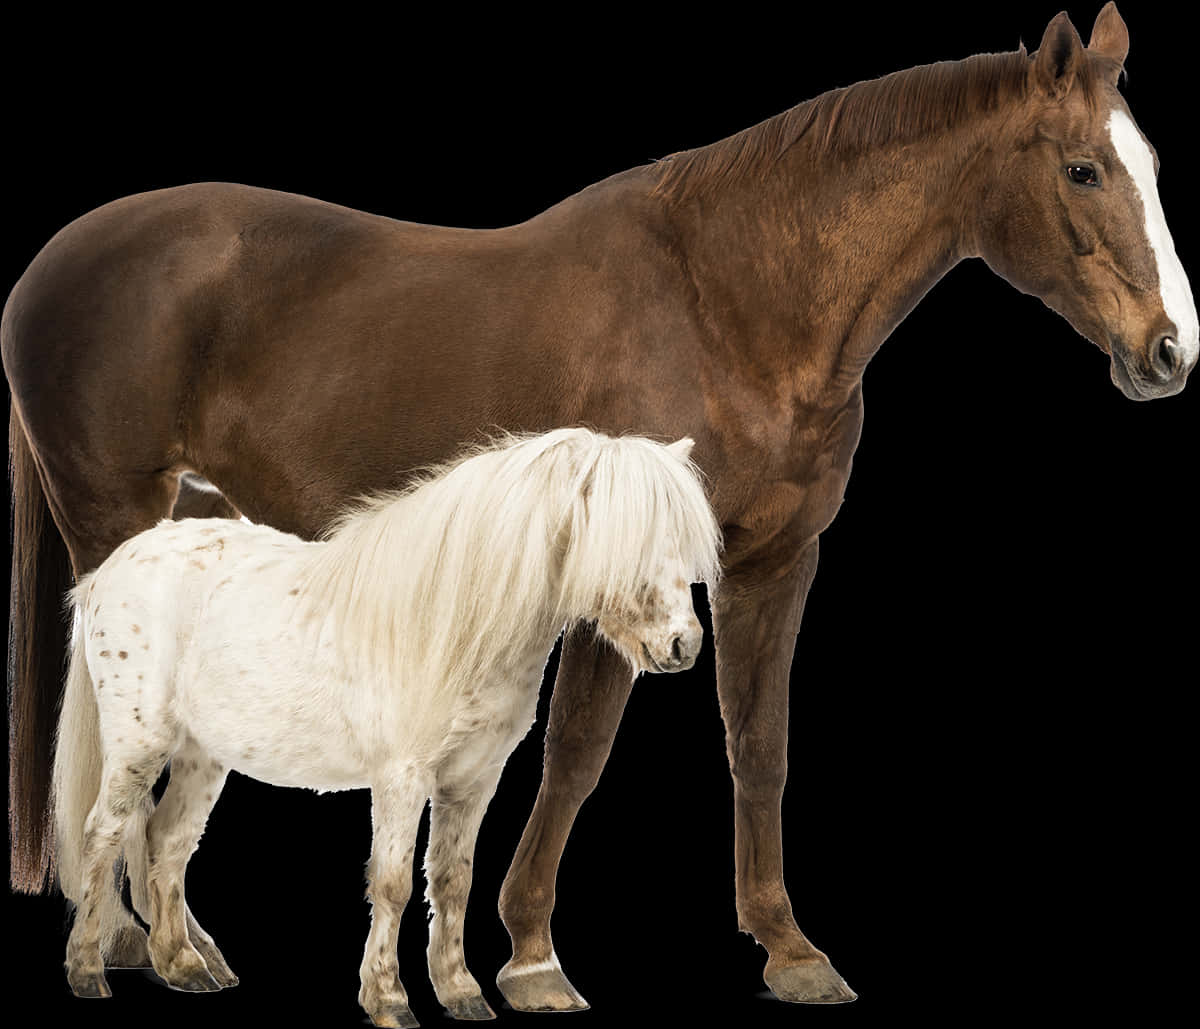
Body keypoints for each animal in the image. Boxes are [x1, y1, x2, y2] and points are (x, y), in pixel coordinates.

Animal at [51, 428, 721, 1027]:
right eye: (624, 540)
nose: (683, 645)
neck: (452, 624)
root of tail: (107, 571)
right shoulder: (402, 778)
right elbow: (394, 882)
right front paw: (389, 1000)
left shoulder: (472, 782)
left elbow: (453, 881)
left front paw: (461, 993)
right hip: (138, 745)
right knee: (103, 833)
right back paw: (86, 972)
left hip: (203, 754)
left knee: (167, 842)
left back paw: (184, 968)